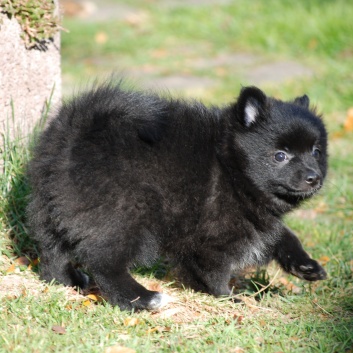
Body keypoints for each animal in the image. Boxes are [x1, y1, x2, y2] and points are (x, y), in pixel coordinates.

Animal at [27, 82, 328, 308]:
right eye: (280, 155)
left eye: (316, 152)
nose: (314, 177)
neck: (230, 164)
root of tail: (78, 129)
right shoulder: (215, 233)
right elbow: (215, 270)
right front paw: (229, 297)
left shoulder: (255, 218)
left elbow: (282, 234)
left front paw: (306, 265)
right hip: (125, 214)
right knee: (105, 263)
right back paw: (142, 299)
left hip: (50, 208)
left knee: (53, 252)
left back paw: (68, 280)